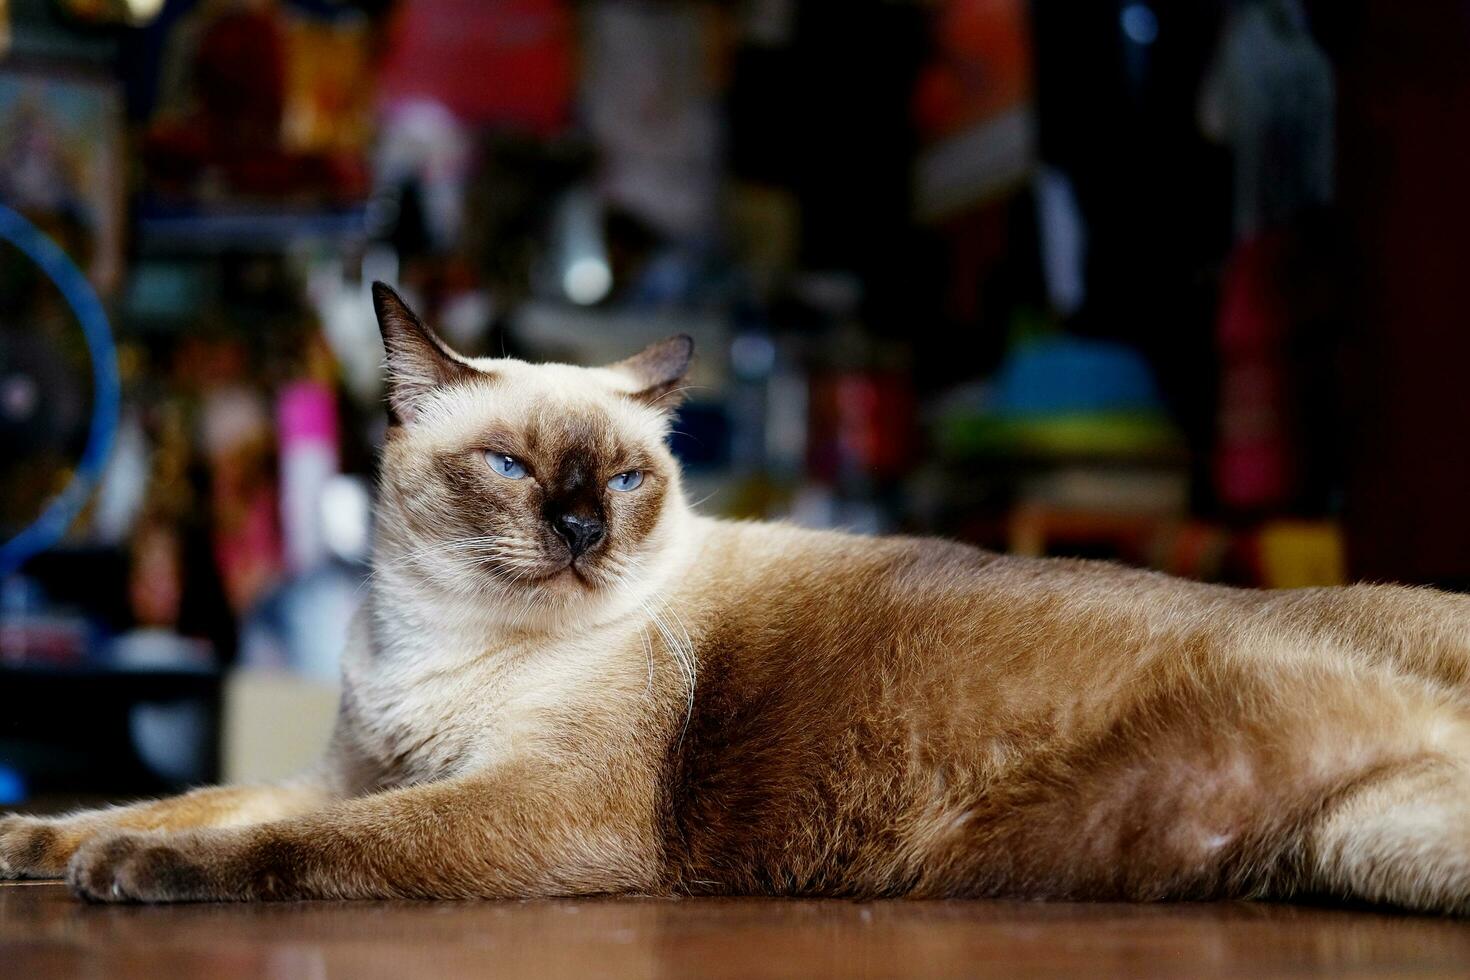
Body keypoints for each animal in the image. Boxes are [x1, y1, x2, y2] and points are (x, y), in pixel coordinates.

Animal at [2, 282, 1470, 910]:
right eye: (512, 468)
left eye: (623, 477)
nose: (582, 529)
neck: (439, 641)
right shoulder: (351, 770)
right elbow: (182, 799)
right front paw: (39, 840)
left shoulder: (530, 806)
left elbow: (278, 842)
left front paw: (125, 875)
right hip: (1372, 844)